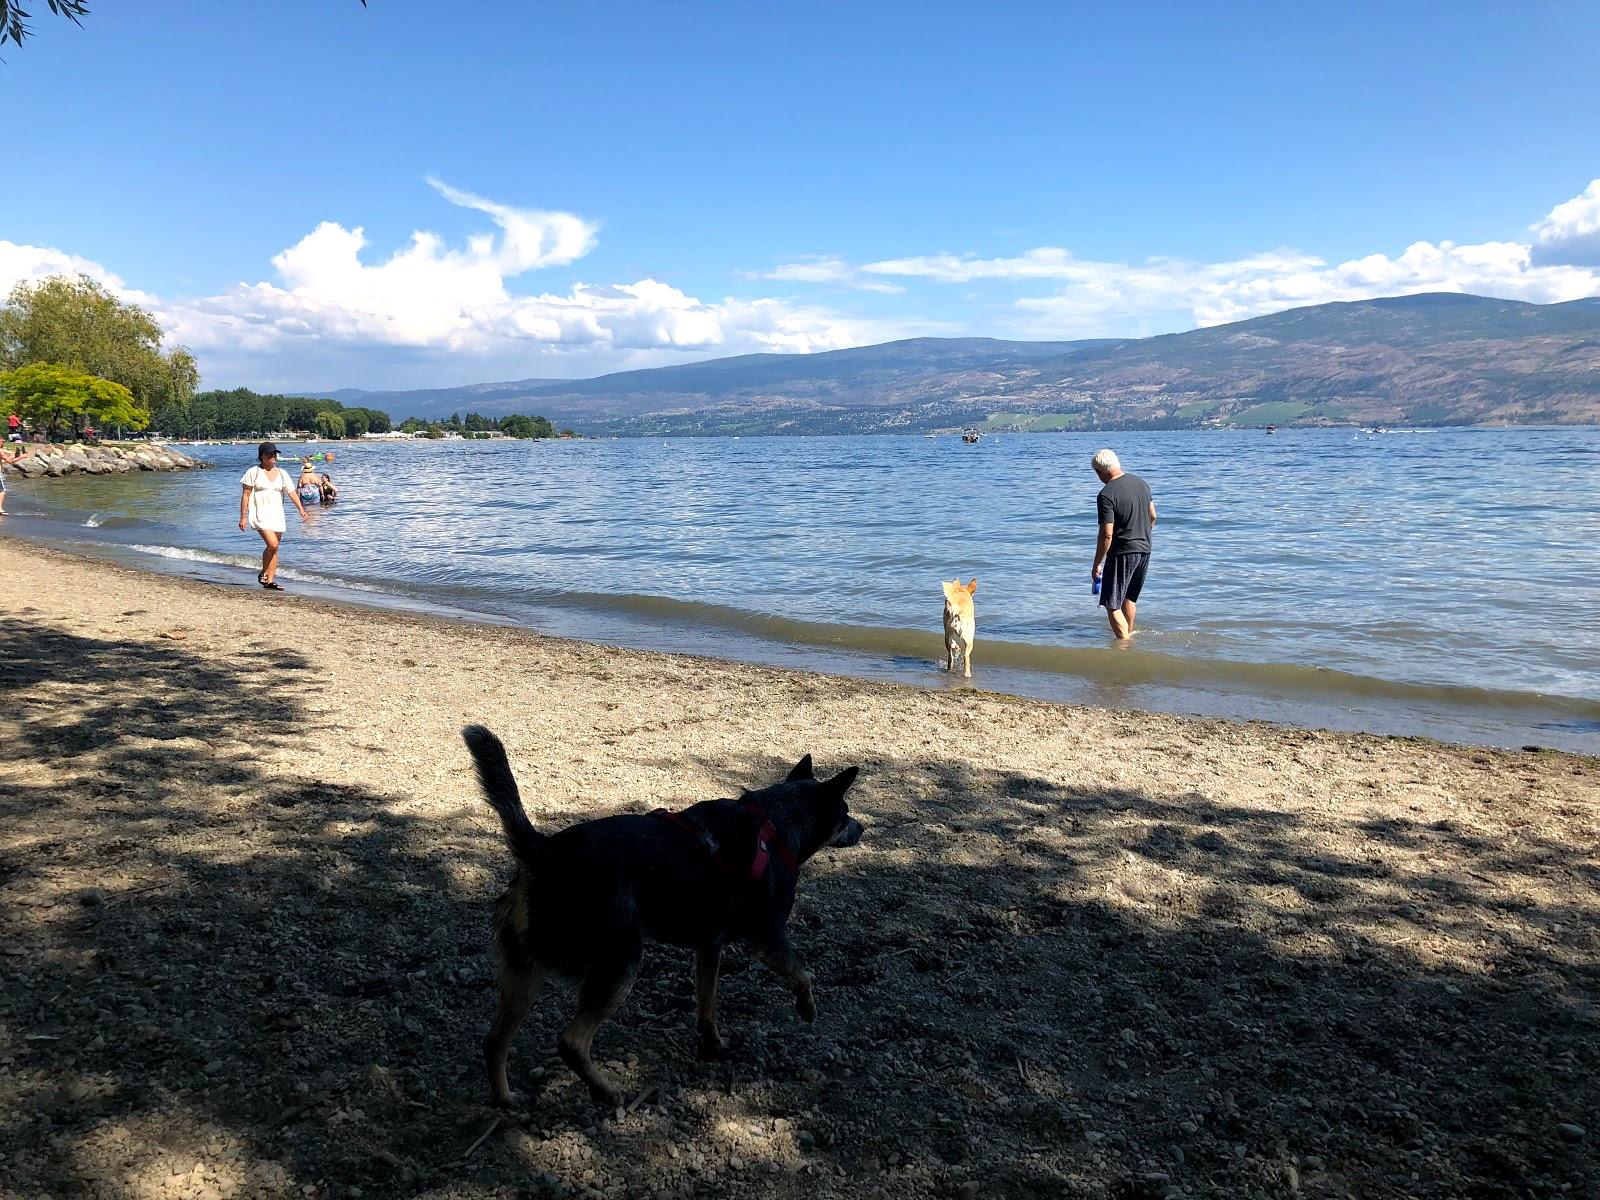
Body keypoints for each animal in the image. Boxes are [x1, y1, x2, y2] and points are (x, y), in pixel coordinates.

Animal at [464, 723, 864, 1107]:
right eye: (845, 814)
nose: (861, 827)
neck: (776, 824)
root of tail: (543, 850)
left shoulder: (709, 949)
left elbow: (707, 1004)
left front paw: (713, 1045)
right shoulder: (769, 940)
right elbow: (803, 974)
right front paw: (807, 1008)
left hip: (526, 970)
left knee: (494, 1041)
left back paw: (505, 1099)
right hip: (619, 964)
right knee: (572, 1043)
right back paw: (607, 1092)